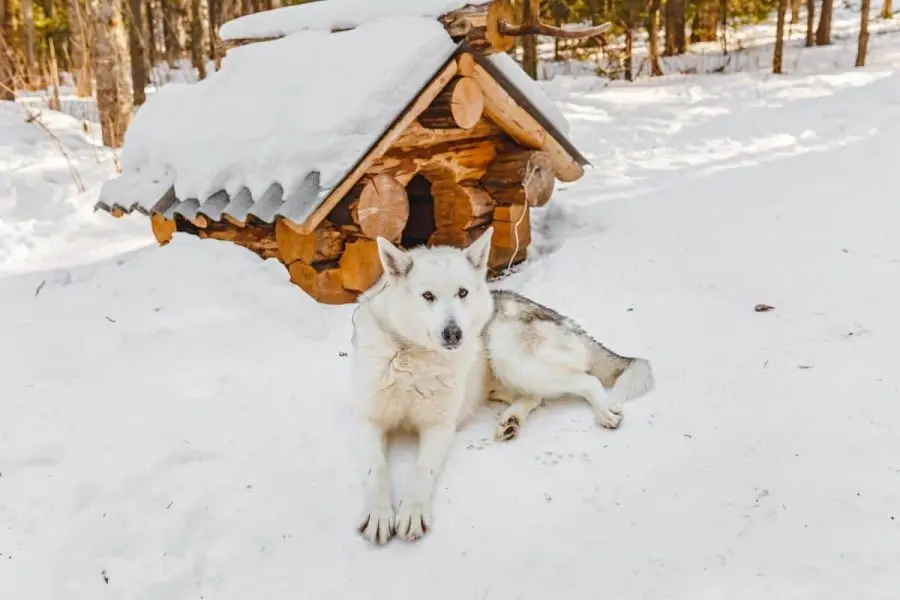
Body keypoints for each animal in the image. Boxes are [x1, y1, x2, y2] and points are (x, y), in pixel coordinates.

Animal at [352, 226, 652, 544]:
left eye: (462, 293)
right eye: (428, 296)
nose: (453, 333)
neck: (413, 355)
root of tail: (564, 319)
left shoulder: (439, 427)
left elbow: (422, 470)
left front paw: (412, 512)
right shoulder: (369, 421)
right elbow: (376, 469)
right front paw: (378, 513)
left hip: (508, 353)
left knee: (586, 380)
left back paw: (602, 411)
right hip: (501, 375)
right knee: (535, 397)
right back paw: (511, 420)